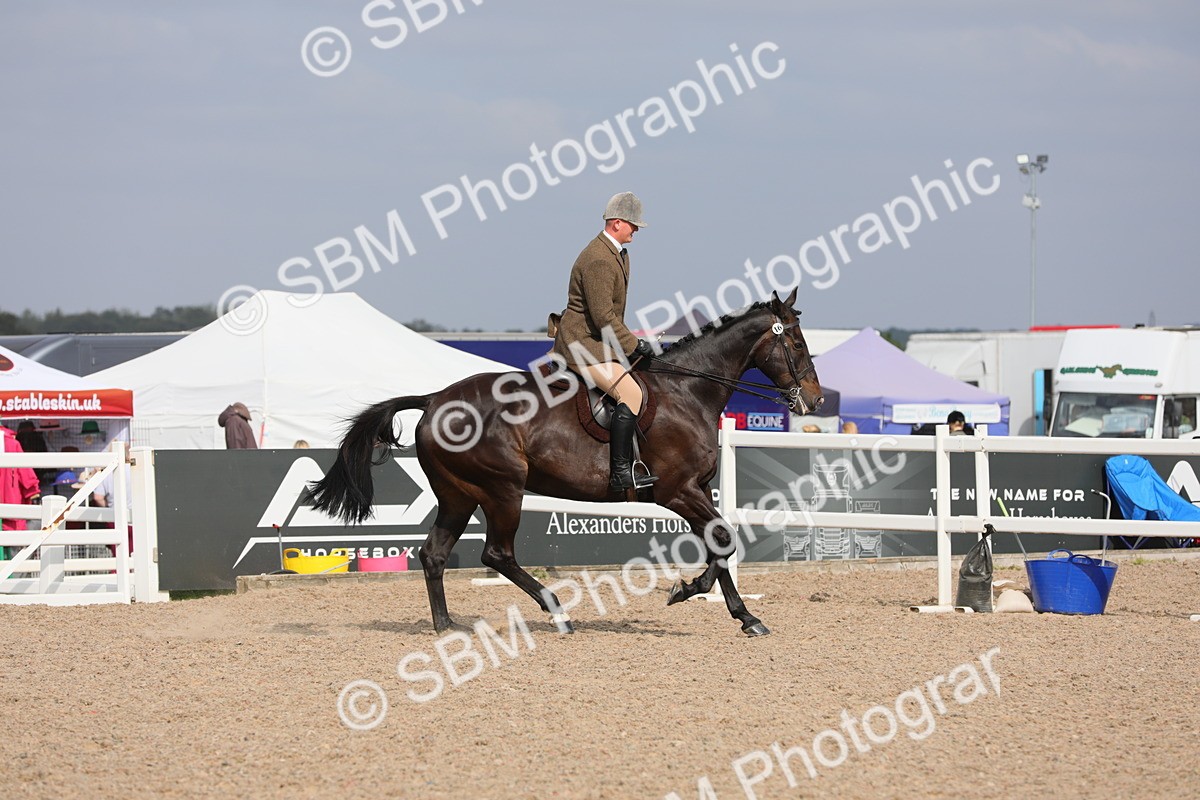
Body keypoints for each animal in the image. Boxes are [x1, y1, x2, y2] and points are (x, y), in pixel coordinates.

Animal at [307, 287, 823, 636]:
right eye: (797, 344)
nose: (815, 401)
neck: (687, 391)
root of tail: (435, 399)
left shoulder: (696, 490)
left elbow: (720, 544)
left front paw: (745, 616)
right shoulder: (678, 491)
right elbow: (724, 542)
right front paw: (685, 591)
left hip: (459, 495)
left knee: (434, 554)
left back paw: (447, 625)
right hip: (503, 490)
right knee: (496, 553)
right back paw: (557, 612)